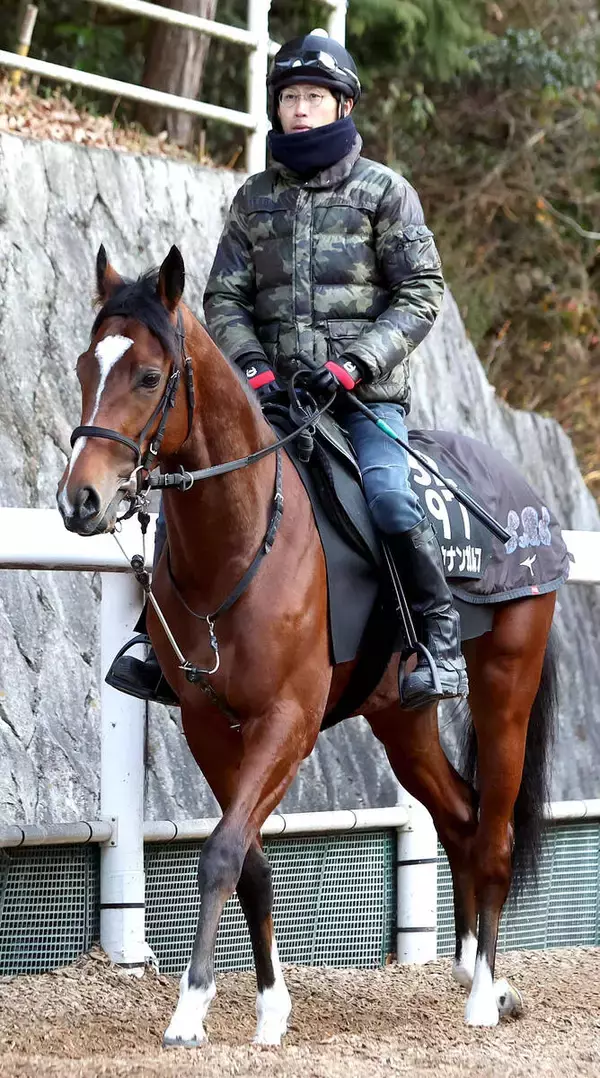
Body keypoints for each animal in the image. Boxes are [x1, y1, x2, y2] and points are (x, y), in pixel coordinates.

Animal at [57, 245, 558, 1046]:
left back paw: (484, 994)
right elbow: (249, 862)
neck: (240, 542)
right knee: (460, 816)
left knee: (495, 833)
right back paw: (473, 971)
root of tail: (526, 496)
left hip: (507, 683)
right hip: (401, 717)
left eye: (148, 376)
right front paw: (269, 1008)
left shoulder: (286, 722)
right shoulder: (208, 723)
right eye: (85, 366)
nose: (81, 501)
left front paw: (190, 1009)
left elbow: (222, 850)